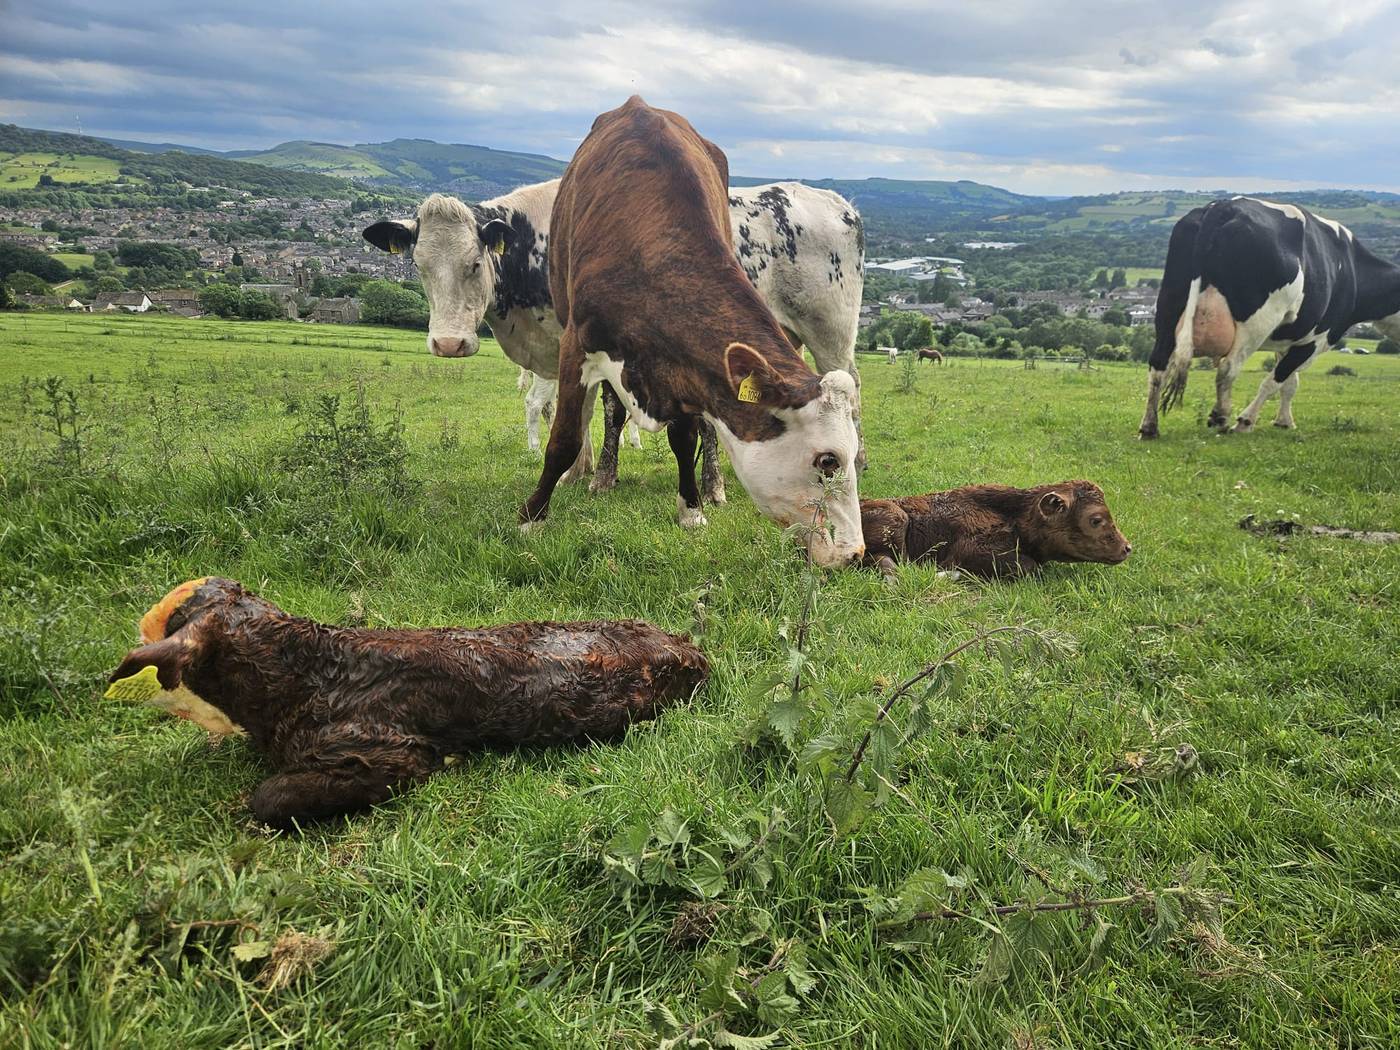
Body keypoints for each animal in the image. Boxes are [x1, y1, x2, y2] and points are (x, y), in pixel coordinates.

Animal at [363, 180, 865, 493]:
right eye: (419, 266)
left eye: (473, 263)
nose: (448, 345)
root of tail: (835, 201)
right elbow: (579, 411)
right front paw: (576, 473)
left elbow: (606, 411)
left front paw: (596, 475)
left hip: (831, 332)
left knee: (850, 386)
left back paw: (854, 462)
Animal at [520, 96, 863, 567]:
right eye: (828, 461)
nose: (855, 552)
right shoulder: (577, 344)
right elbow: (565, 439)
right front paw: (532, 517)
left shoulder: (682, 366)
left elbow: (683, 438)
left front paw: (692, 509)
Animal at [1139, 197, 1400, 438]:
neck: (1354, 271)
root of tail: (1223, 206)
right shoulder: (1314, 340)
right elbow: (1275, 380)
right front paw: (1245, 421)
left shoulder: (1290, 341)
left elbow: (1290, 384)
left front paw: (1284, 421)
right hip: (1257, 321)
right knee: (1228, 367)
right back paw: (1221, 417)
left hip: (1169, 305)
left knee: (1158, 364)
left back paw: (1149, 427)